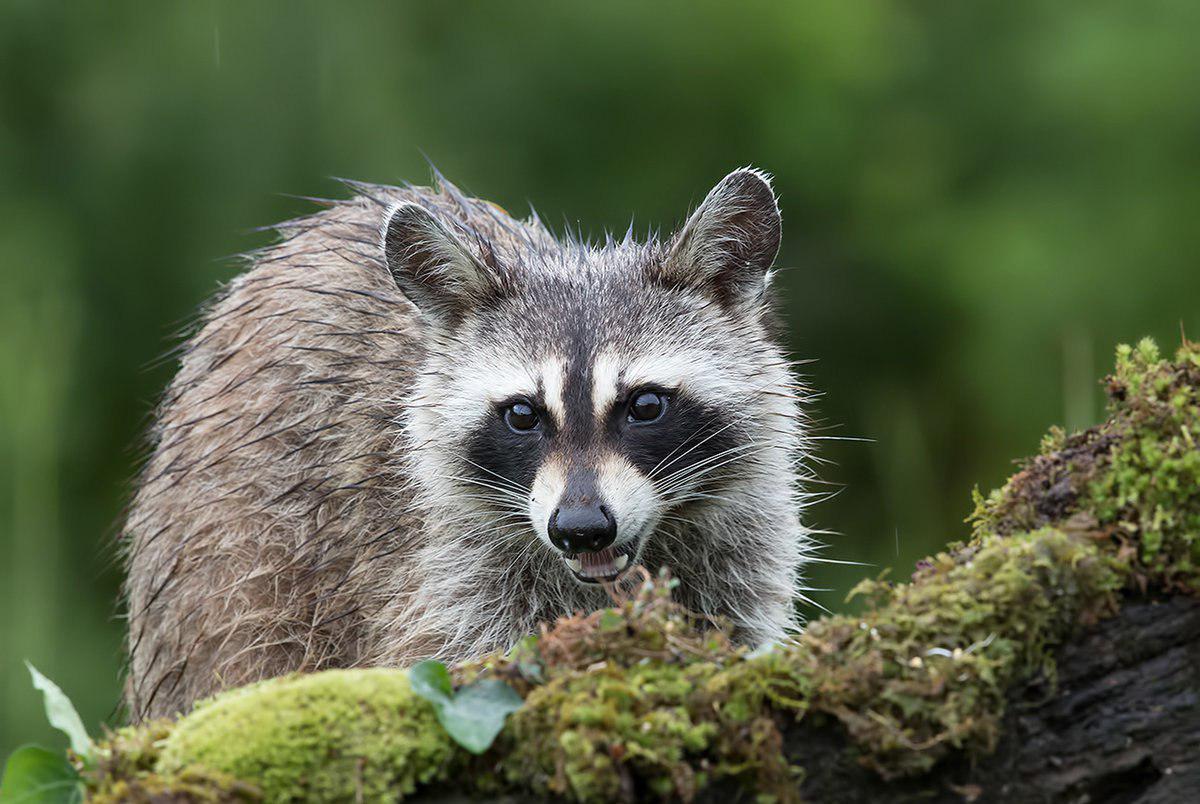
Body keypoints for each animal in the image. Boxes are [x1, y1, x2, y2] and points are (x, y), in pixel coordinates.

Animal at [124, 166, 816, 720]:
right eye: (522, 415)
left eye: (645, 406)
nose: (582, 528)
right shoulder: (439, 559)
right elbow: (458, 649)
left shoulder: (739, 539)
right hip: (229, 560)